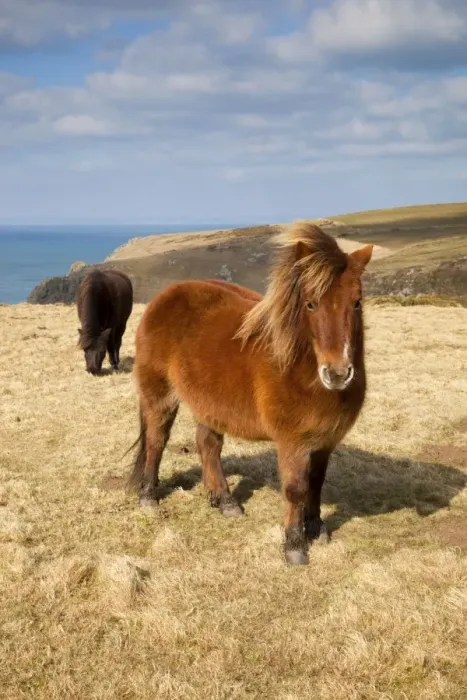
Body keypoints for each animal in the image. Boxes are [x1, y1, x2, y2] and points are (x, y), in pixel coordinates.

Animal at [128, 222, 373, 565]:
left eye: (357, 302)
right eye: (310, 303)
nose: (337, 373)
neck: (300, 368)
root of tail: (164, 297)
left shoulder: (325, 441)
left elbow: (317, 484)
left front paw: (316, 528)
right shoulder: (293, 443)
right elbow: (296, 488)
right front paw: (294, 545)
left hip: (209, 403)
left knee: (208, 445)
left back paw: (225, 501)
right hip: (159, 396)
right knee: (156, 440)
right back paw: (149, 495)